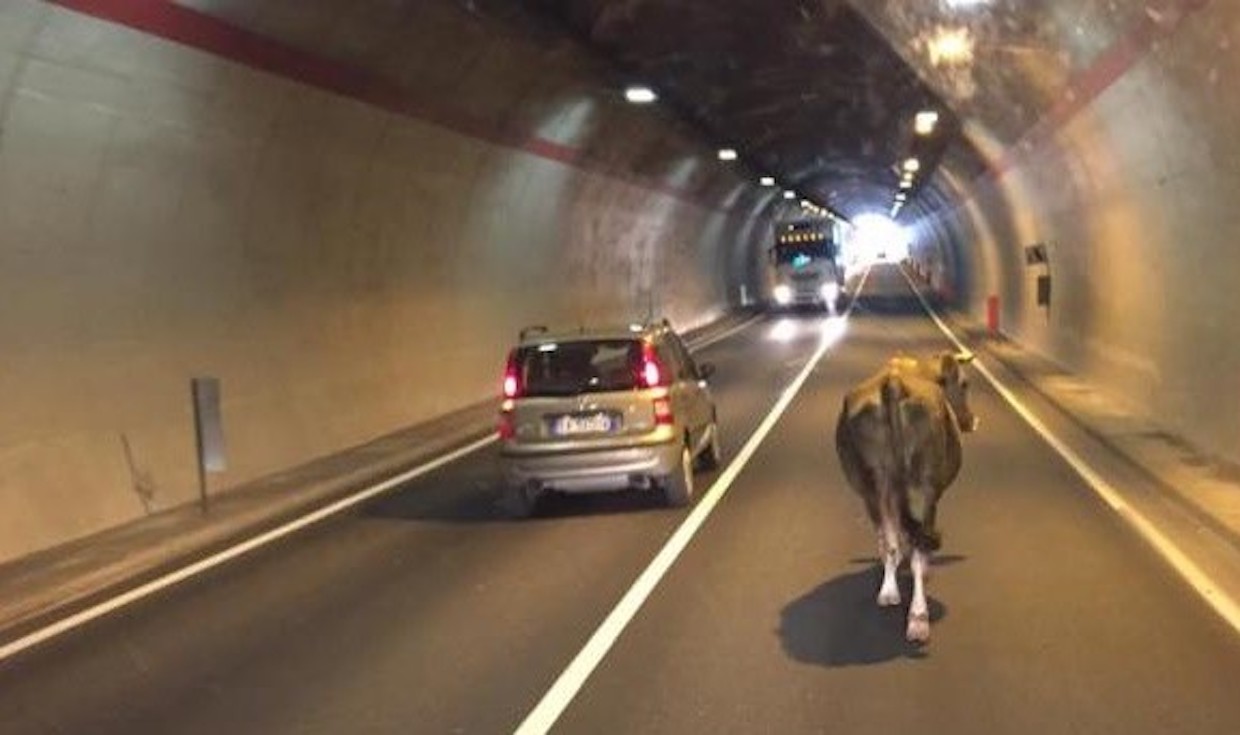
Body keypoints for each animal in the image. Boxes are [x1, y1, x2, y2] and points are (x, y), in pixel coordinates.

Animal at [833, 352, 977, 644]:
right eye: (965, 383)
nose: (972, 420)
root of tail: (893, 383)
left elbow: (893, 536)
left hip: (873, 484)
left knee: (889, 538)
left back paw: (889, 592)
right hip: (924, 487)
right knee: (919, 550)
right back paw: (918, 618)